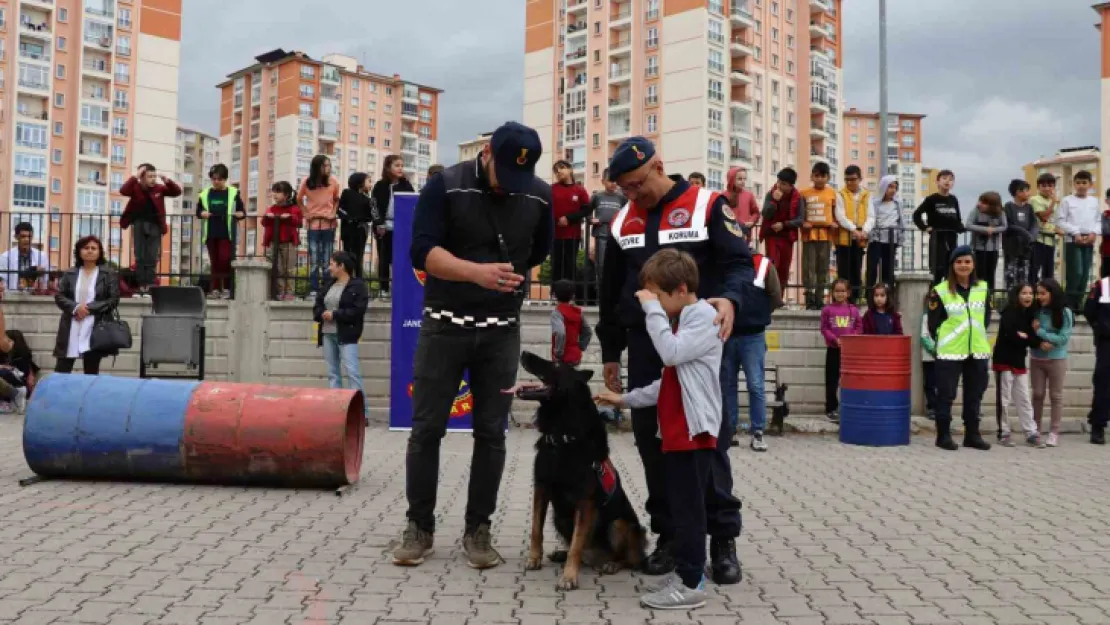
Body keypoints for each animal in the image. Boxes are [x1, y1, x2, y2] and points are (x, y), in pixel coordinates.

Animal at [512, 353, 648, 590]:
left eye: (556, 364)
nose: (524, 353)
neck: (563, 435)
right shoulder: (541, 488)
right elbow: (536, 530)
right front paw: (534, 558)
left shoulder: (585, 502)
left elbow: (576, 544)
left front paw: (569, 577)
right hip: (559, 517)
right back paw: (562, 553)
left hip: (620, 525)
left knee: (630, 558)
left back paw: (612, 563)